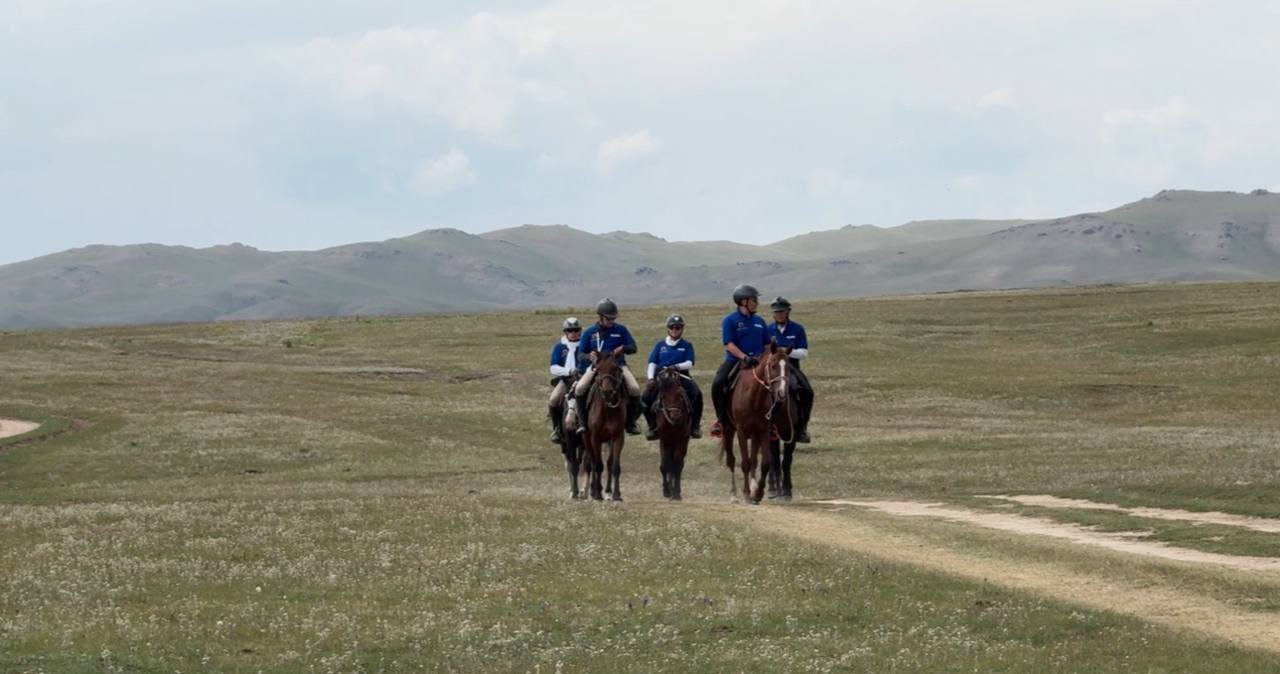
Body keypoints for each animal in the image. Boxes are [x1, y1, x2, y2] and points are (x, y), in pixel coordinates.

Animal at [583, 351, 628, 501]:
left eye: (615, 368)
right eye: (598, 369)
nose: (607, 391)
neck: (608, 410)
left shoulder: (618, 437)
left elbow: (615, 466)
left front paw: (616, 494)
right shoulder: (595, 438)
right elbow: (598, 465)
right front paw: (597, 493)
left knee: (608, 463)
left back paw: (607, 490)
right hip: (586, 439)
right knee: (592, 462)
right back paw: (593, 490)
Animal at [653, 366, 693, 501]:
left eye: (680, 395)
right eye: (664, 396)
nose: (675, 417)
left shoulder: (682, 441)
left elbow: (677, 466)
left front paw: (676, 493)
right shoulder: (664, 440)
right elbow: (665, 465)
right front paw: (666, 491)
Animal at [720, 344, 790, 503]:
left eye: (789, 367)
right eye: (773, 366)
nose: (782, 393)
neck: (753, 395)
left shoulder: (763, 430)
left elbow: (764, 463)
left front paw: (758, 492)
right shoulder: (741, 431)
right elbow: (745, 463)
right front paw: (746, 493)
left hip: (755, 434)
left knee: (754, 460)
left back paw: (753, 488)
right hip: (729, 429)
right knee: (731, 460)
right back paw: (734, 494)